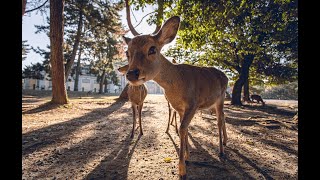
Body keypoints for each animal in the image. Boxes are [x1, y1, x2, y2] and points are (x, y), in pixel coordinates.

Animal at [123, 6, 230, 177]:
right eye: (127, 53)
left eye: (152, 49)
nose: (131, 74)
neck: (177, 86)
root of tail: (225, 76)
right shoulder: (179, 108)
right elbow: (183, 129)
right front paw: (187, 157)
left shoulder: (193, 104)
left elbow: (182, 128)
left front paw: (182, 169)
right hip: (213, 103)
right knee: (224, 117)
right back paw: (225, 142)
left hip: (221, 98)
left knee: (219, 120)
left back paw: (221, 151)